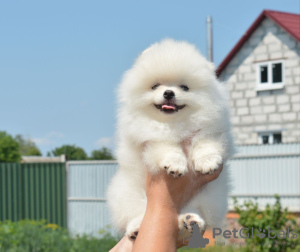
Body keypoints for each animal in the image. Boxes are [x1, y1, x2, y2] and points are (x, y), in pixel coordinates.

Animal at [106, 39, 236, 240]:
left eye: (184, 87)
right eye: (155, 86)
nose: (168, 93)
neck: (174, 123)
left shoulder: (214, 130)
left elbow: (205, 142)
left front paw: (207, 162)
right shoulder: (150, 137)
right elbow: (166, 145)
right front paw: (176, 164)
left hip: (212, 195)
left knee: (195, 208)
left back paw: (190, 219)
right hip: (124, 192)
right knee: (136, 212)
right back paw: (136, 228)